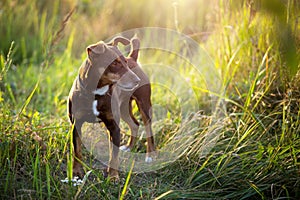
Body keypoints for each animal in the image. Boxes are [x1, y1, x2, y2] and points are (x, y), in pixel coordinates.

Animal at [67, 36, 156, 180]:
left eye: (125, 62)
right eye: (114, 63)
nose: (136, 80)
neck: (96, 92)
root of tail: (133, 58)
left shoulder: (114, 126)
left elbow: (113, 156)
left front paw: (113, 176)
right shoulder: (76, 125)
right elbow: (77, 151)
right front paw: (76, 173)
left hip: (144, 104)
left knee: (148, 128)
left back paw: (150, 155)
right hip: (124, 108)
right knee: (135, 124)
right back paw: (129, 147)